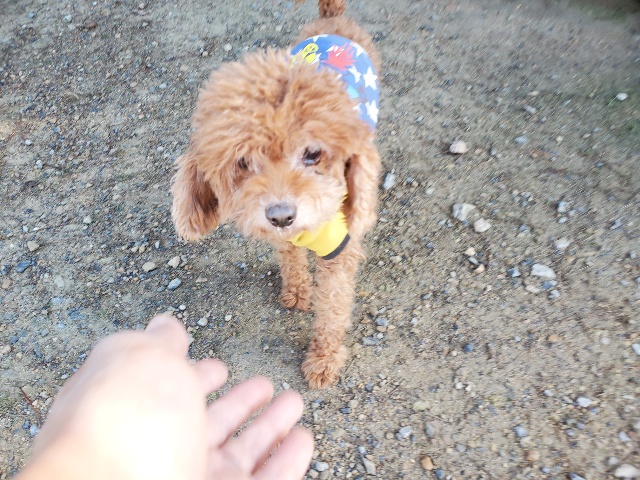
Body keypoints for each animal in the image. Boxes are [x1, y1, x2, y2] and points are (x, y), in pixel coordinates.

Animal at [171, 0, 381, 388]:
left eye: (313, 154)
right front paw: (297, 291)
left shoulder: (338, 252)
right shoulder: (283, 237)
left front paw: (323, 360)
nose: (281, 215)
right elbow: (291, 259)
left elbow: (333, 309)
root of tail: (331, 17)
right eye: (243, 162)